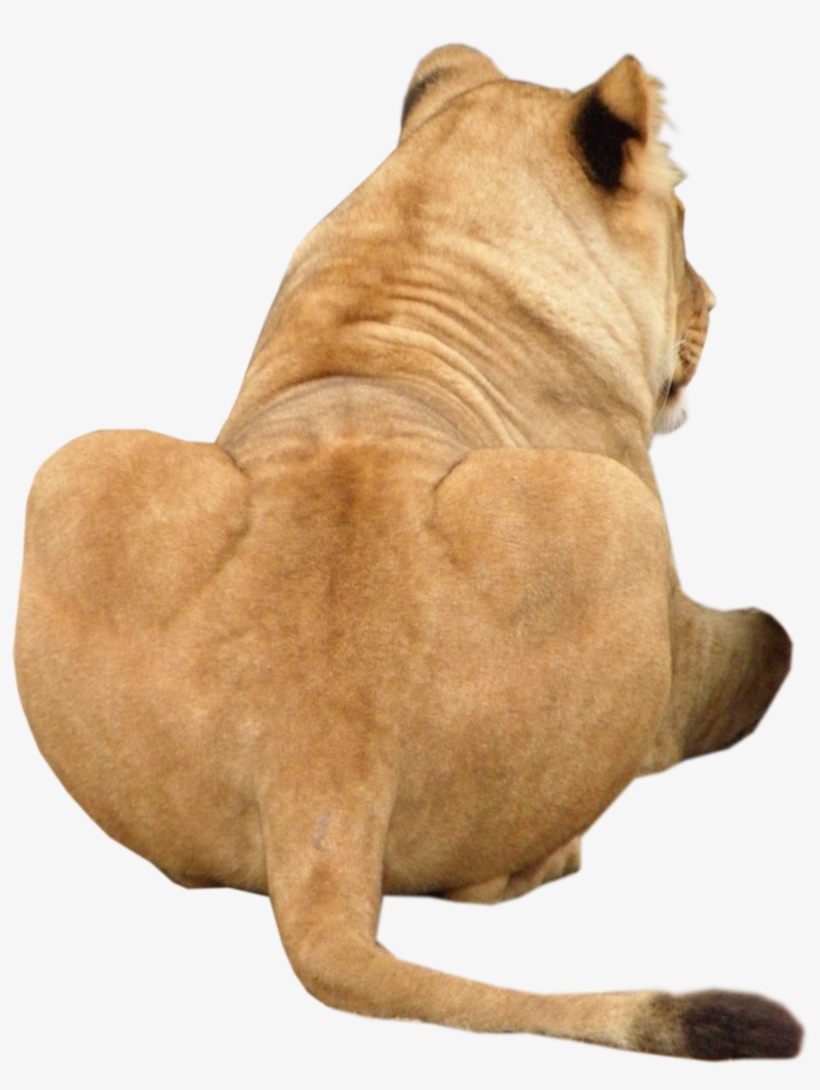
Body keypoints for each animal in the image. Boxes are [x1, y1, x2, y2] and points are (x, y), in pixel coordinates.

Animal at [14, 46, 801, 1059]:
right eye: (685, 220)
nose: (714, 302)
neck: (421, 232)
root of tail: (319, 765)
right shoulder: (670, 598)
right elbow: (770, 643)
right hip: (612, 512)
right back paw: (555, 856)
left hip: (68, 469)